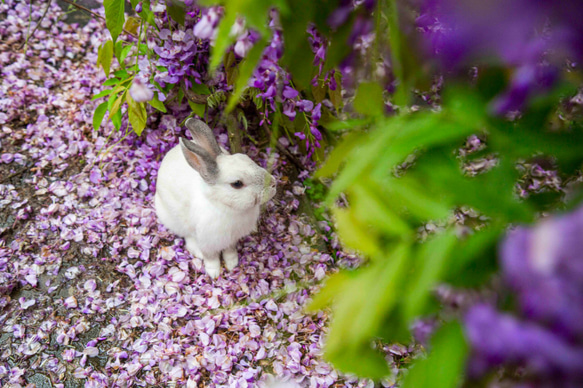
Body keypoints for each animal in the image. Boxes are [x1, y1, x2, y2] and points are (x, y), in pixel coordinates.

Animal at [153, 118, 276, 278]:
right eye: (237, 184)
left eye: (247, 158)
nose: (273, 184)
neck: (226, 206)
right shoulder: (207, 242)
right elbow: (211, 257)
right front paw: (214, 273)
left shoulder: (231, 240)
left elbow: (230, 251)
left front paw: (232, 264)